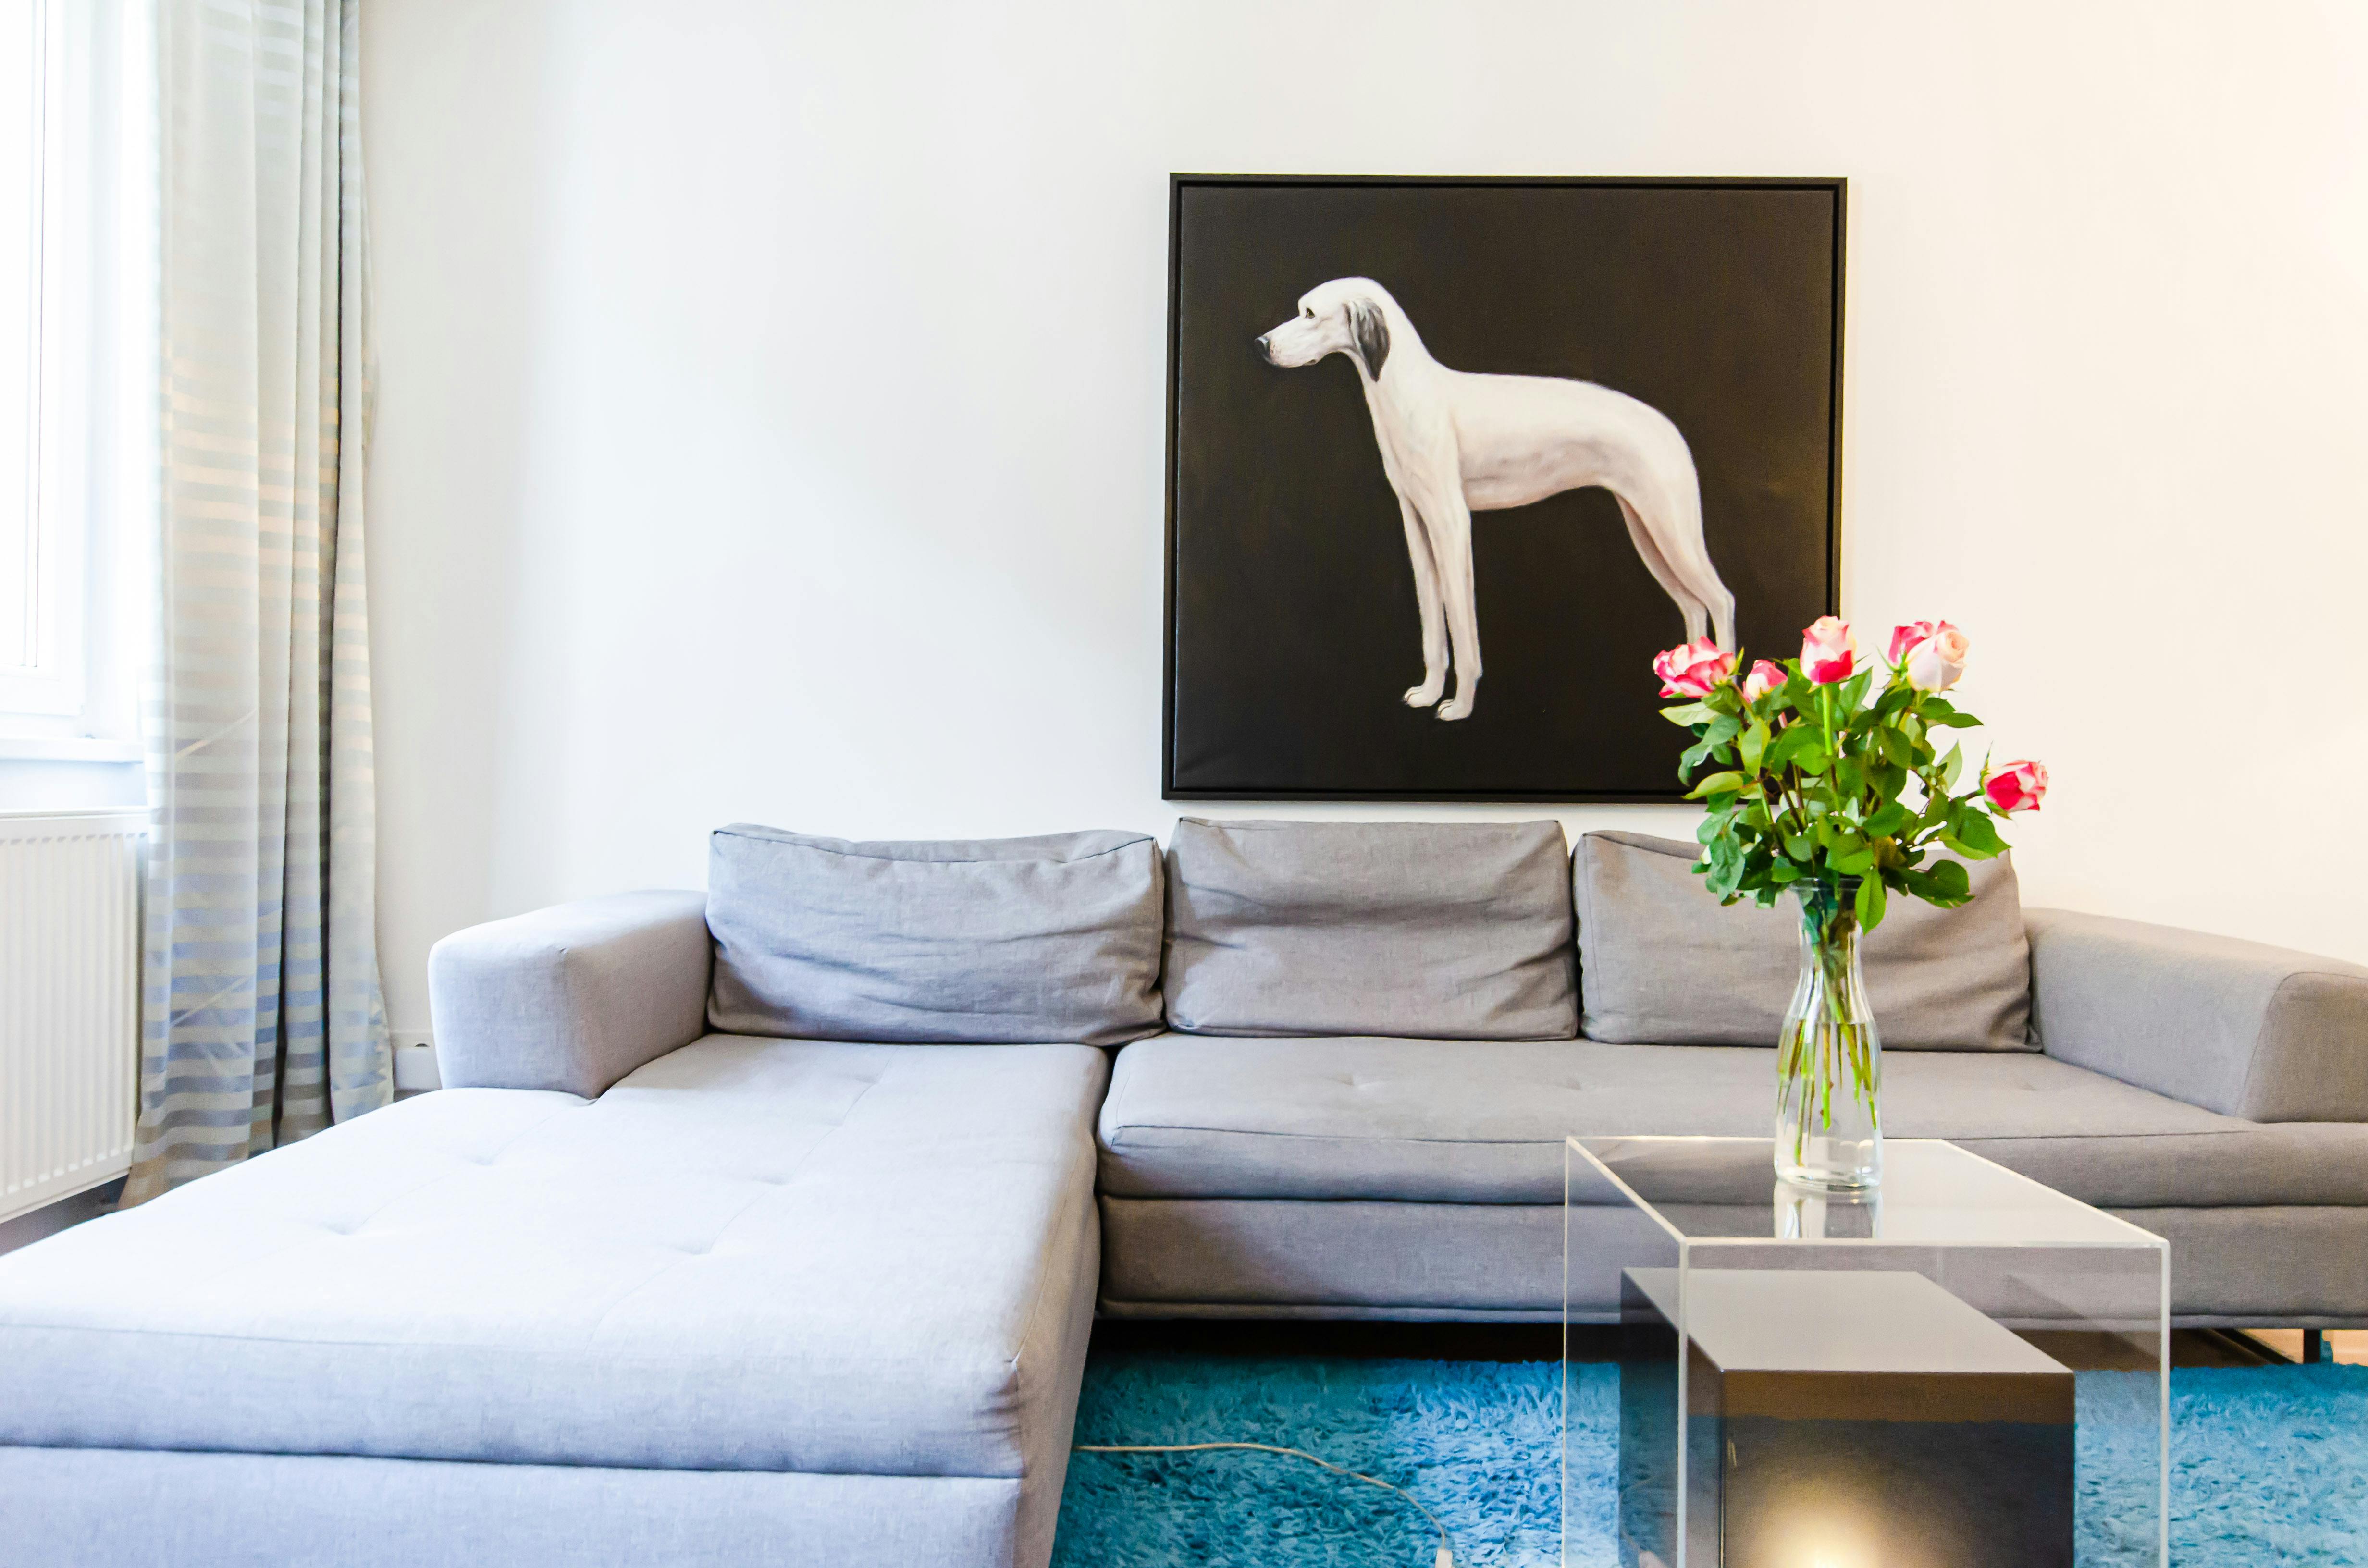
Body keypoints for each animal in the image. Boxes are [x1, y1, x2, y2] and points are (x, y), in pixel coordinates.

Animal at [1256, 278, 1736, 721]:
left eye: (1310, 314)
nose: (1262, 346)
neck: (1411, 395)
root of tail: (1669, 428)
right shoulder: (1418, 525)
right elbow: (1434, 633)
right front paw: (1429, 693)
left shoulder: (1452, 525)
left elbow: (1463, 631)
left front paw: (1459, 706)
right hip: (1649, 533)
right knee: (1692, 605)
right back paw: (1689, 694)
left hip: (1671, 531)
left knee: (1721, 600)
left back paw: (1722, 698)